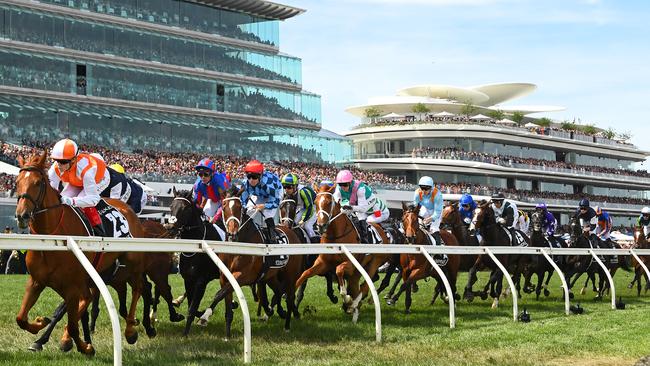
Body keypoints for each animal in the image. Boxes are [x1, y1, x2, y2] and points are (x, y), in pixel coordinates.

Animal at [14, 149, 147, 354]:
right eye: (17, 182)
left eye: (37, 183)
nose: (22, 215)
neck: (53, 239)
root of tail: (128, 210)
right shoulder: (36, 281)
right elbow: (21, 318)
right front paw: (40, 325)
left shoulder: (72, 286)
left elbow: (72, 323)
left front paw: (84, 346)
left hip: (132, 263)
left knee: (138, 288)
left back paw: (131, 330)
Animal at [199, 186, 302, 332]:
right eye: (224, 206)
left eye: (239, 207)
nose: (232, 233)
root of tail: (290, 231)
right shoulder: (224, 277)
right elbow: (223, 297)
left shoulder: (244, 276)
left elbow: (220, 293)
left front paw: (205, 316)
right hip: (271, 276)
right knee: (278, 290)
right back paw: (274, 311)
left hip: (290, 275)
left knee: (289, 296)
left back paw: (287, 325)